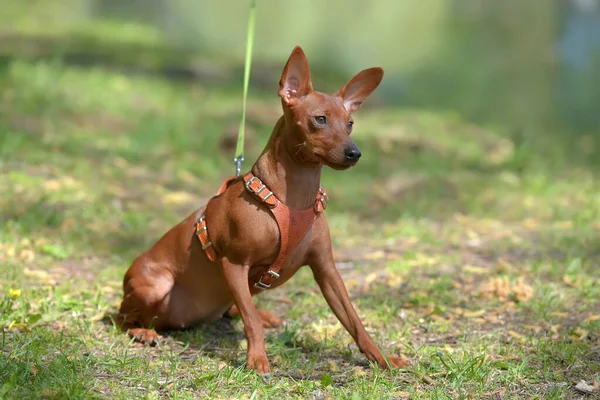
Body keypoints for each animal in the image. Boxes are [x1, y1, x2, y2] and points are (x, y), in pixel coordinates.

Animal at [117, 45, 408, 374]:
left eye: (350, 124)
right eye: (320, 119)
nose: (354, 153)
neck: (292, 201)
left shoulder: (327, 270)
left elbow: (355, 321)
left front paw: (382, 358)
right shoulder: (234, 264)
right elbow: (250, 321)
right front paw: (257, 358)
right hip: (155, 286)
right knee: (122, 317)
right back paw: (143, 331)